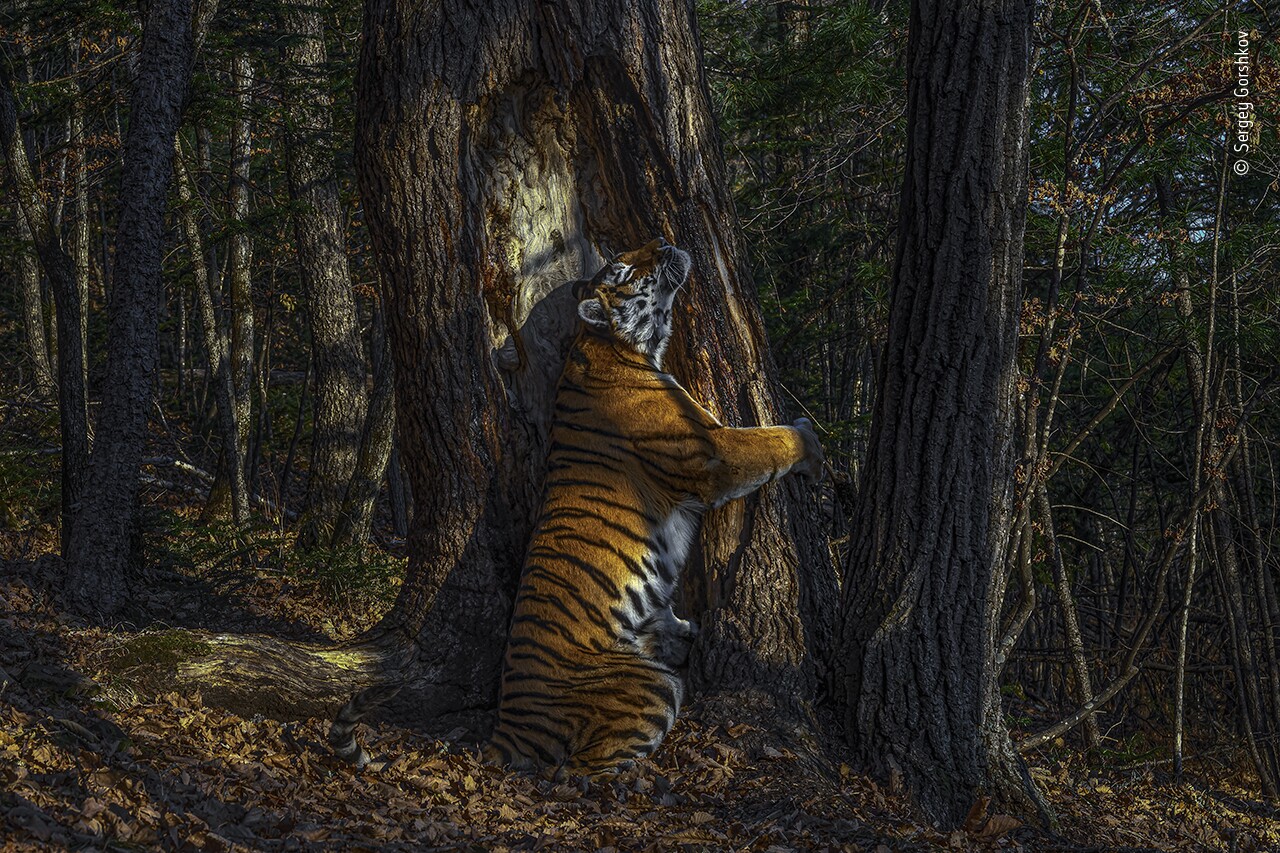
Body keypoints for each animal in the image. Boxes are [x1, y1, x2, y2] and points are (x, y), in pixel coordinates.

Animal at [483, 236, 824, 778]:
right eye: (624, 270)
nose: (662, 240)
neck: (615, 346)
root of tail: (506, 726)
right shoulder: (712, 451)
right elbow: (770, 440)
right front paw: (811, 443)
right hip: (649, 687)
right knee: (582, 772)